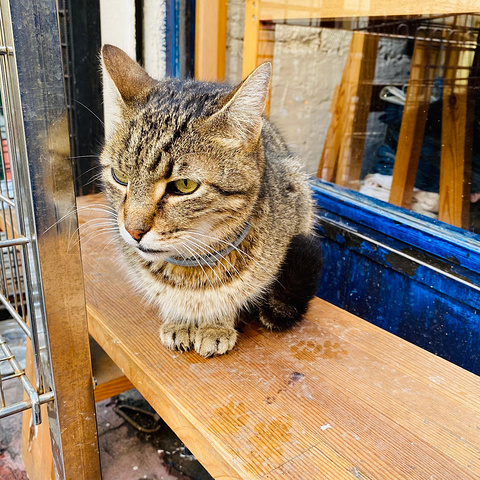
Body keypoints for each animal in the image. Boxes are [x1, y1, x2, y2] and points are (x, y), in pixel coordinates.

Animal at [99, 45, 322, 356]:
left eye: (184, 186)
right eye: (120, 176)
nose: (133, 231)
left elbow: (229, 299)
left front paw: (216, 326)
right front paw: (179, 320)